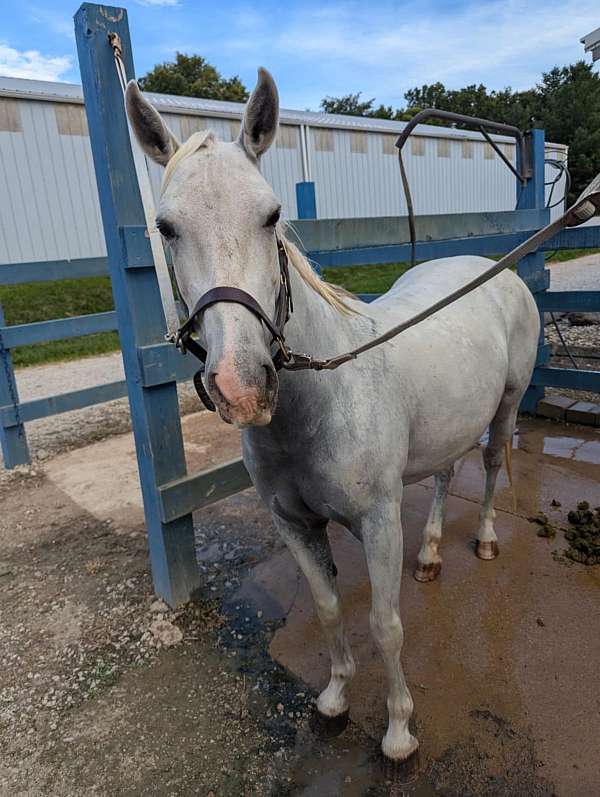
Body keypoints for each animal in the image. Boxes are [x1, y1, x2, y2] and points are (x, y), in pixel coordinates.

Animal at [125, 68, 540, 770]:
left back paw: (483, 539)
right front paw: (335, 700)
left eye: (272, 215)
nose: (241, 384)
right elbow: (326, 609)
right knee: (443, 475)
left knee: (486, 467)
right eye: (166, 226)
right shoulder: (294, 523)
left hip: (506, 404)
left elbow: (385, 624)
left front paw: (399, 733)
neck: (318, 406)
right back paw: (431, 553)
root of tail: (494, 271)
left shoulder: (376, 522)